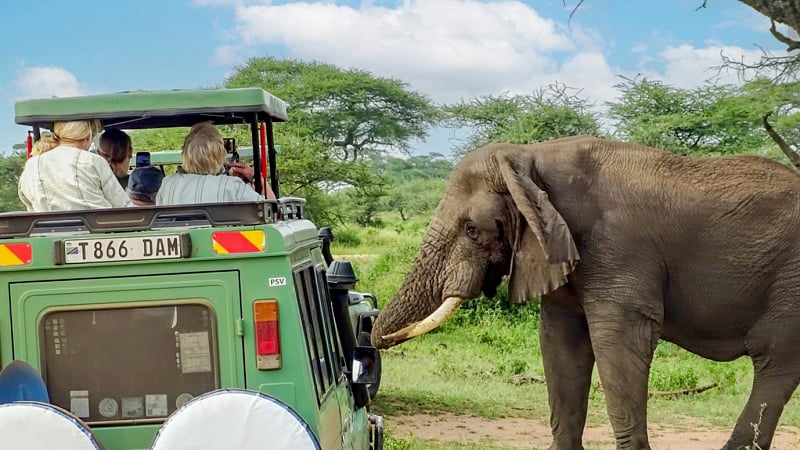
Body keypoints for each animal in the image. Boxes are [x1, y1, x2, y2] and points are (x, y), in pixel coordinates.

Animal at [371, 136, 800, 450]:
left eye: (472, 229)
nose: (373, 336)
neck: (529, 156)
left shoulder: (620, 251)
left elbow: (619, 346)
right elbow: (560, 344)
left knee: (776, 364)